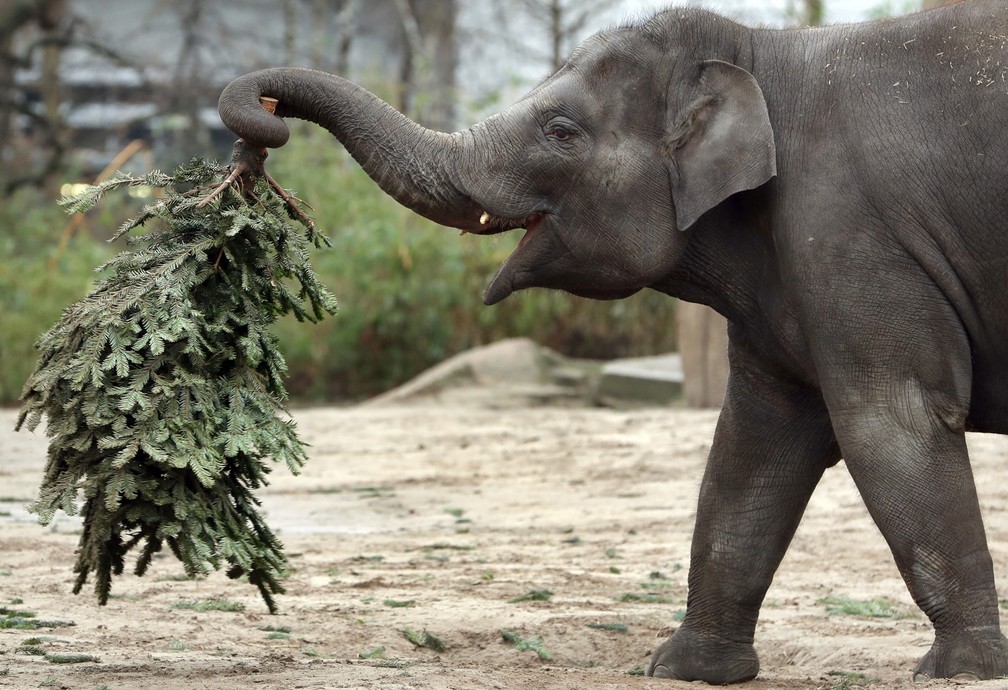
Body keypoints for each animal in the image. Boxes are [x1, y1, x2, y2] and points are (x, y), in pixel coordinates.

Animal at [216, 1, 1008, 684]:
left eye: (562, 131)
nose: (263, 125)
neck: (760, 52)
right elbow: (753, 445)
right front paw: (682, 669)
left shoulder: (854, 240)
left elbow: (889, 424)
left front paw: (960, 670)